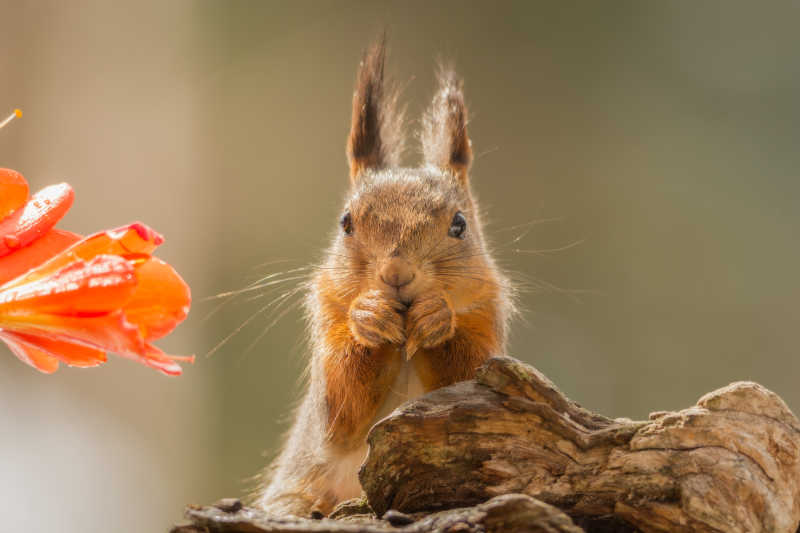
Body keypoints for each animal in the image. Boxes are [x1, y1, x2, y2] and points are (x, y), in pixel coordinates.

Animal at [260, 40, 516, 516]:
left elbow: (469, 376)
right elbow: (340, 408)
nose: (396, 273)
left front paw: (437, 317)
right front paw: (369, 317)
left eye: (459, 224)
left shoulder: (487, 317)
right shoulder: (327, 319)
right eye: (345, 222)